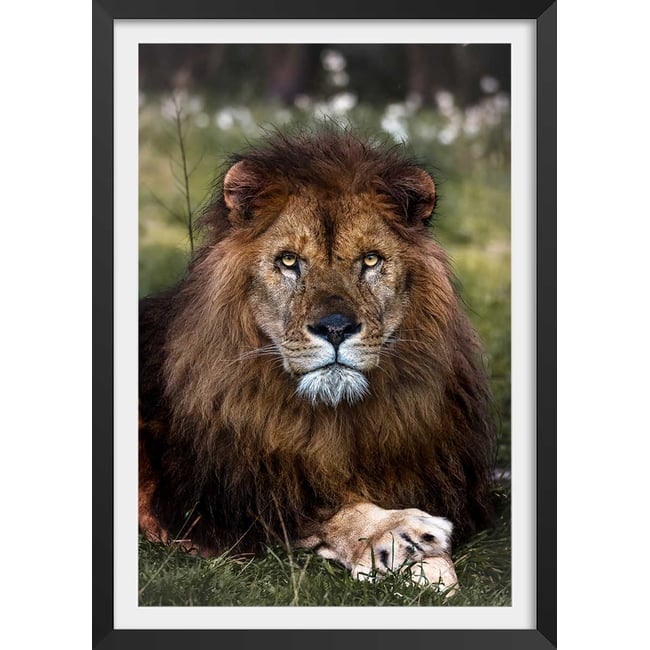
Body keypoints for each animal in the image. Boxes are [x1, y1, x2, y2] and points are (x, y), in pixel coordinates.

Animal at [139, 129, 496, 592]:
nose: (335, 328)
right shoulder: (210, 501)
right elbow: (323, 510)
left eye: (370, 259)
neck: (334, 419)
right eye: (290, 261)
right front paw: (400, 537)